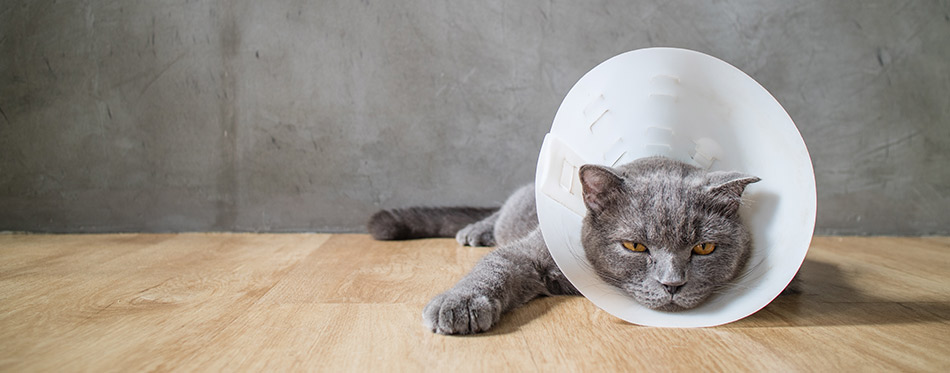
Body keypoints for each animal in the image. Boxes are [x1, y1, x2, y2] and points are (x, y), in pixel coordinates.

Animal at [368, 155, 764, 332]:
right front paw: (458, 304)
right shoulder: (527, 252)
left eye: (704, 249)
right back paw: (474, 231)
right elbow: (494, 266)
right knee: (496, 215)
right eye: (635, 247)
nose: (672, 284)